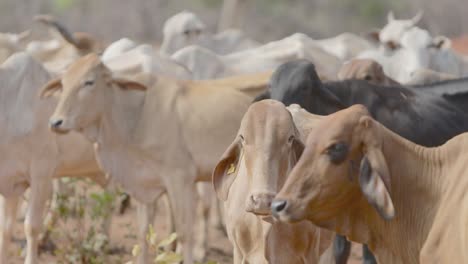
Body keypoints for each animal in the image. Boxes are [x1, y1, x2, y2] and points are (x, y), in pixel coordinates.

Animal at [41, 52, 270, 262]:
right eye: (63, 84)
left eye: (89, 82)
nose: (55, 122)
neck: (136, 115)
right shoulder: (144, 183)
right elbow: (143, 232)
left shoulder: (180, 179)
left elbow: (184, 232)